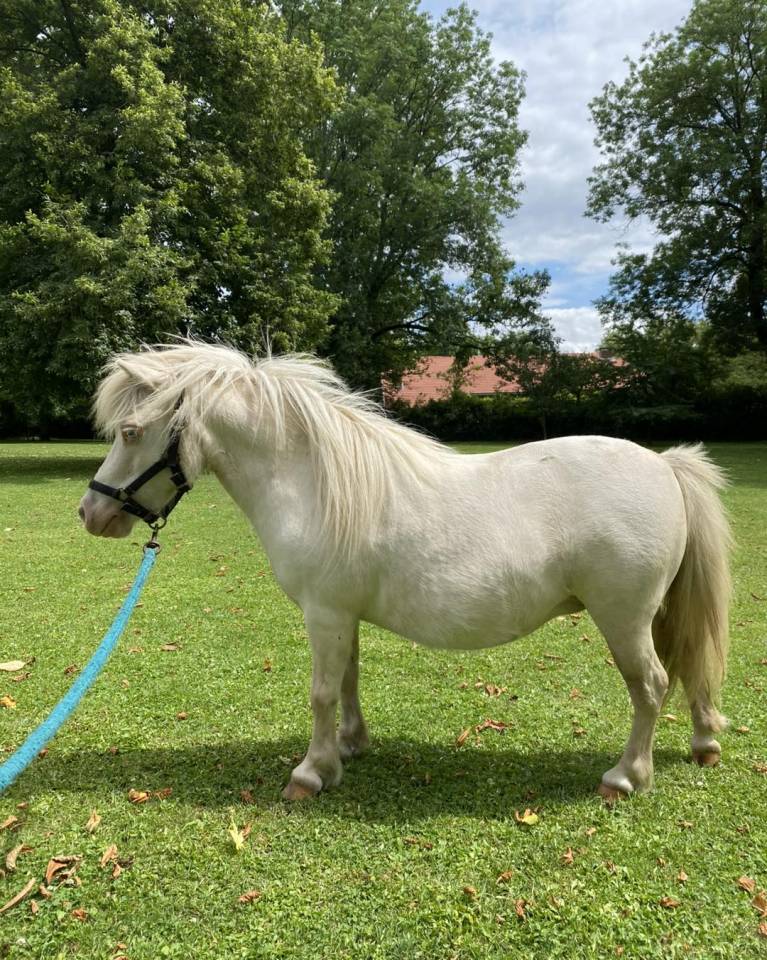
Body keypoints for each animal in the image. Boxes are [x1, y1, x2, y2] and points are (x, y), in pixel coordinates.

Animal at [78, 342, 732, 802]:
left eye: (131, 432)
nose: (91, 512)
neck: (313, 482)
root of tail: (664, 465)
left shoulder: (323, 613)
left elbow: (320, 691)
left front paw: (310, 774)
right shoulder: (343, 615)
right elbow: (347, 680)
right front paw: (349, 747)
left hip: (623, 620)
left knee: (651, 685)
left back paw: (625, 777)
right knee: (688, 666)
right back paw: (703, 743)